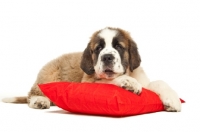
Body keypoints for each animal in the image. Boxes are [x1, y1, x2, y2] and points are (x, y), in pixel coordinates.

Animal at [1, 27, 181, 112]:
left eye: (118, 47)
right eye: (99, 48)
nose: (107, 57)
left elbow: (159, 82)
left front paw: (173, 99)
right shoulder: (89, 82)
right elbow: (110, 79)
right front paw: (129, 82)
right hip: (48, 73)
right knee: (32, 94)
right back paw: (40, 101)